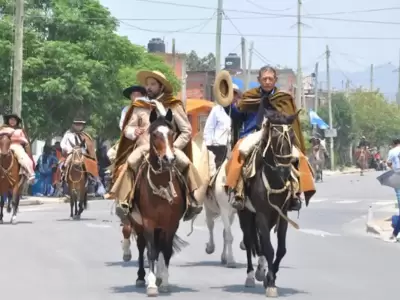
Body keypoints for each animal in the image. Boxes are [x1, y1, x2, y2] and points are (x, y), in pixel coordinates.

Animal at [130, 108, 189, 296]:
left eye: (171, 133)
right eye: (155, 134)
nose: (168, 159)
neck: (161, 184)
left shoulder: (171, 224)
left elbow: (166, 251)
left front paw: (163, 282)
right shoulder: (148, 222)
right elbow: (151, 251)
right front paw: (151, 285)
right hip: (137, 223)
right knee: (142, 246)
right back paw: (141, 277)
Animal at [238, 108, 300, 298]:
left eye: (293, 137)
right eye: (274, 138)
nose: (285, 171)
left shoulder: (282, 215)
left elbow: (280, 249)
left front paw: (270, 278)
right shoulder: (262, 215)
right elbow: (269, 248)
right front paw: (270, 282)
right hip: (245, 214)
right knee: (249, 241)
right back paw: (251, 276)